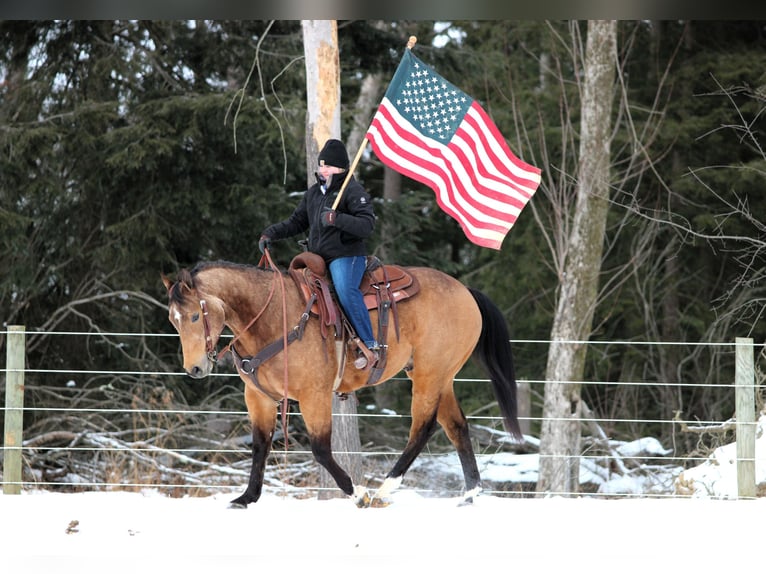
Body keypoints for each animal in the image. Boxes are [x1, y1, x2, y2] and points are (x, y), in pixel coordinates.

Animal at [162, 254, 520, 510]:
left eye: (194, 316)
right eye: (172, 320)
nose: (194, 368)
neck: (274, 318)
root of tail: (465, 292)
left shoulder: (314, 395)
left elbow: (320, 449)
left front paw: (357, 492)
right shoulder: (258, 397)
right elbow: (260, 446)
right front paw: (247, 497)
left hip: (429, 376)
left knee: (423, 427)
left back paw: (384, 489)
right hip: (441, 377)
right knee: (457, 426)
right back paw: (470, 493)